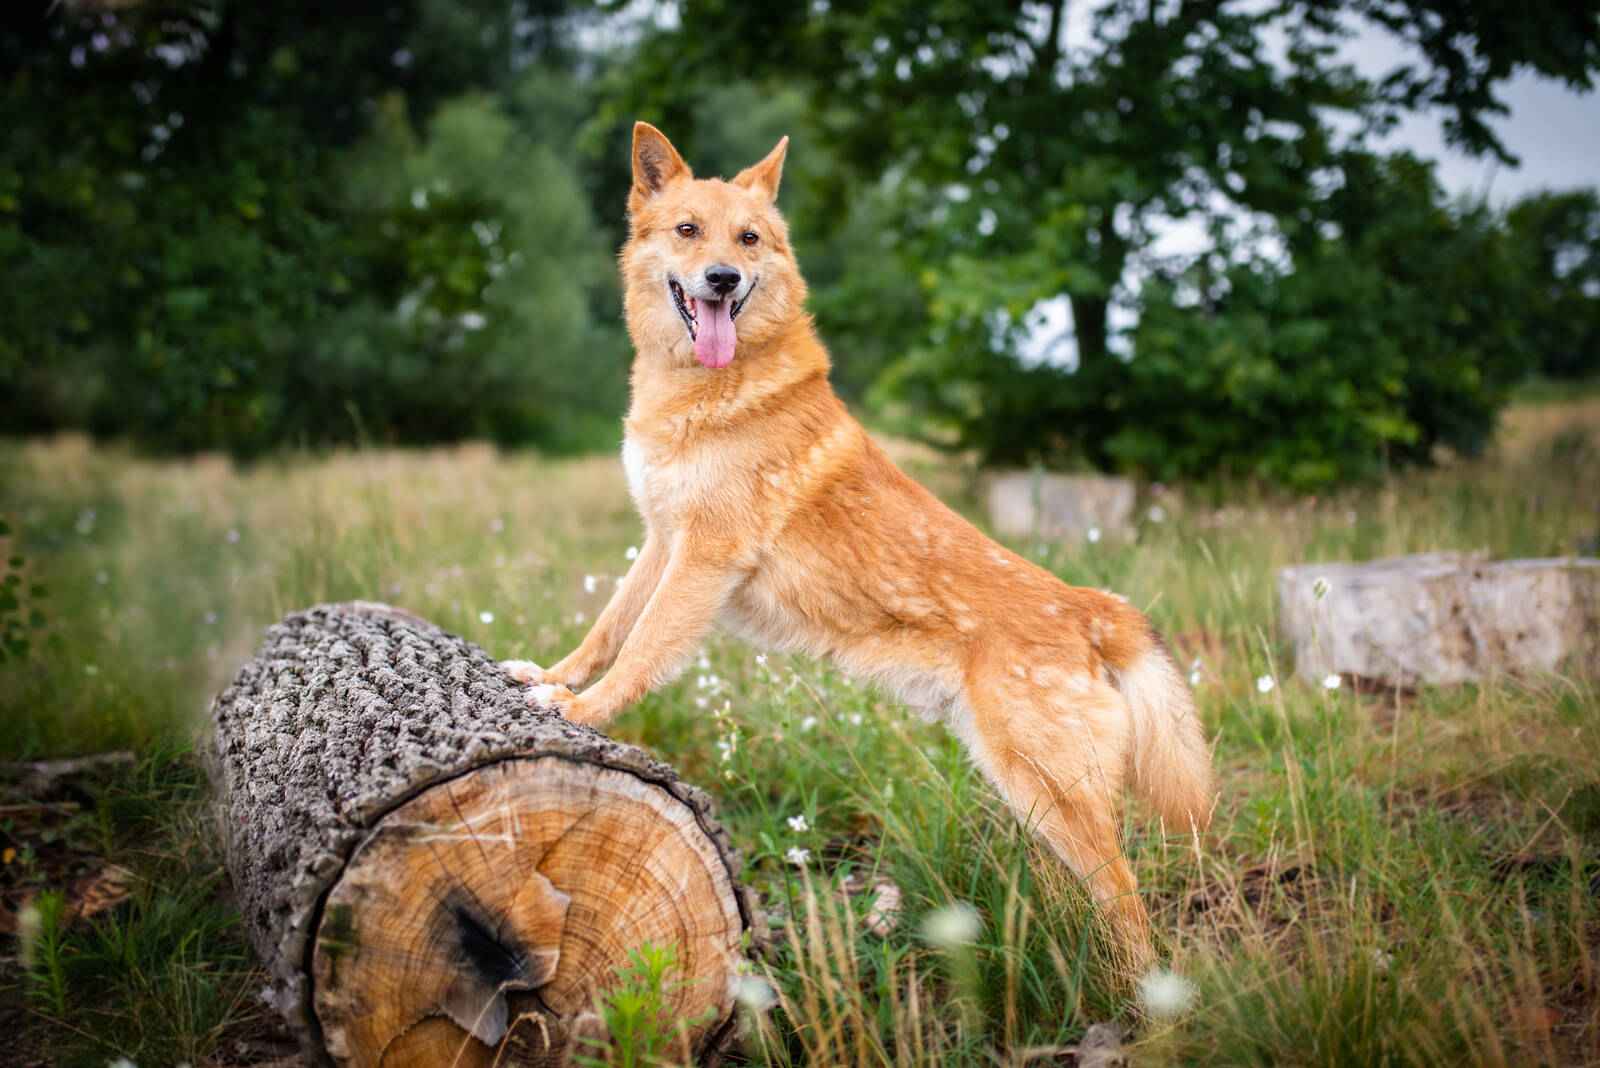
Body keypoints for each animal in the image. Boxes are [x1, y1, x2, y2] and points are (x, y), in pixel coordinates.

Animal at [505, 120, 1216, 965]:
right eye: (687, 230)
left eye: (749, 238)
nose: (722, 279)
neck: (717, 388)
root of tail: (1091, 609)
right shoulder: (660, 544)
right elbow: (608, 628)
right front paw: (553, 677)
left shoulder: (703, 558)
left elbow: (643, 650)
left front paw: (582, 712)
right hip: (1037, 798)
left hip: (1050, 792)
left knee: (1129, 903)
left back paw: (1138, 995)